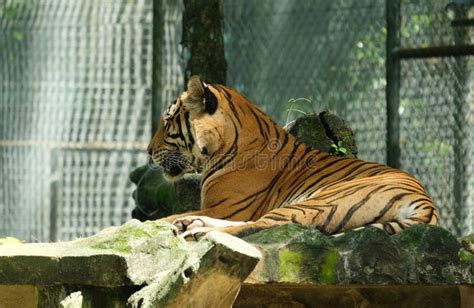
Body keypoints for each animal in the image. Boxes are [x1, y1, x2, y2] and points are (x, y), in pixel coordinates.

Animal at [146, 76, 438, 239]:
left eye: (168, 121)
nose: (148, 150)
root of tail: (427, 202)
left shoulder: (227, 206)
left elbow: (161, 218)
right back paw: (191, 223)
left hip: (320, 201)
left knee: (261, 226)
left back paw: (197, 229)